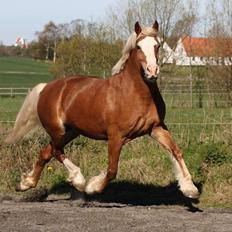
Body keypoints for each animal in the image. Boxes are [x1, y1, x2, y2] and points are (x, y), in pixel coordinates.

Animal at [5, 21, 198, 198]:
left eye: (157, 45)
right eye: (139, 47)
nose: (152, 72)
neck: (135, 95)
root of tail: (46, 88)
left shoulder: (156, 128)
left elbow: (176, 151)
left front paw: (190, 189)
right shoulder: (116, 136)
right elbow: (112, 170)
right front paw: (93, 187)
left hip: (71, 131)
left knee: (46, 152)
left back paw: (26, 183)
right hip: (57, 130)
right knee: (55, 150)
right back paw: (79, 181)